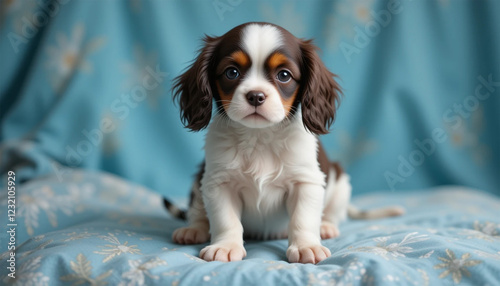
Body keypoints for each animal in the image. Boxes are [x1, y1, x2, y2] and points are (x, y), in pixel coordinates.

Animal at [166, 22, 404, 264]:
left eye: (284, 75)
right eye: (232, 72)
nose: (256, 96)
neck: (259, 137)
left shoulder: (306, 182)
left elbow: (303, 218)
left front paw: (307, 246)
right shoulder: (219, 183)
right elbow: (225, 220)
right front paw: (226, 245)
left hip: (340, 183)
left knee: (333, 212)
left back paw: (326, 226)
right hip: (199, 180)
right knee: (197, 210)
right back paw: (194, 229)